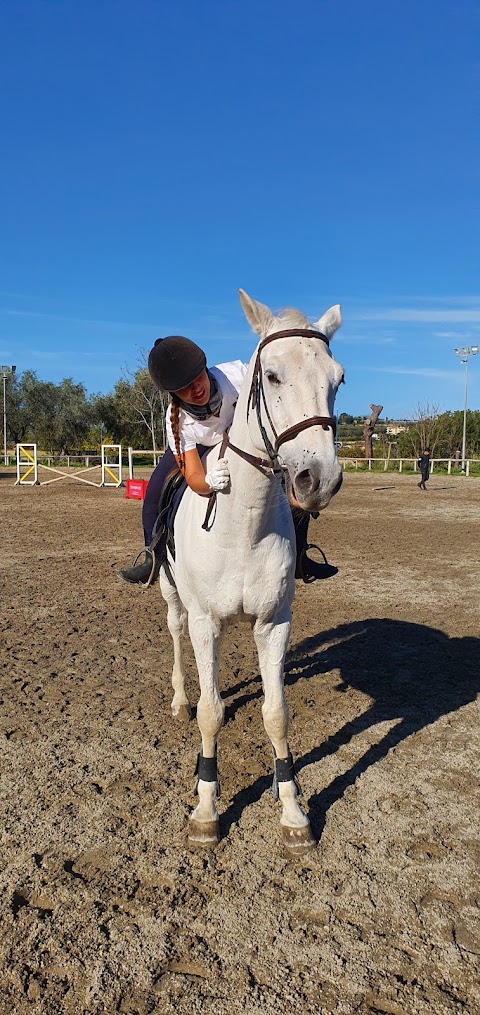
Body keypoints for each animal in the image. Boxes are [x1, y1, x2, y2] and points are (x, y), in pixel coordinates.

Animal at [159, 290, 343, 852]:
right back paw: (179, 697)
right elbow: (211, 712)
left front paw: (293, 812)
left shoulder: (273, 623)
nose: (318, 479)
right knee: (176, 636)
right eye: (274, 376)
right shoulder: (206, 623)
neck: (243, 524)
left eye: (338, 378)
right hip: (172, 597)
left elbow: (277, 714)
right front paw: (205, 809)